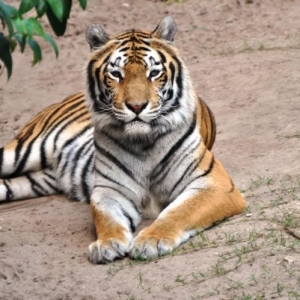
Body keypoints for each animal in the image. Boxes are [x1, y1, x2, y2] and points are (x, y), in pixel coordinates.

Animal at [0, 17, 246, 264]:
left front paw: (151, 241)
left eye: (154, 72)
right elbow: (108, 218)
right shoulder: (110, 189)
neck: (144, 141)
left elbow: (178, 212)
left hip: (36, 180)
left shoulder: (215, 185)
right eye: (116, 74)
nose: (137, 106)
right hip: (20, 153)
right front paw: (106, 244)